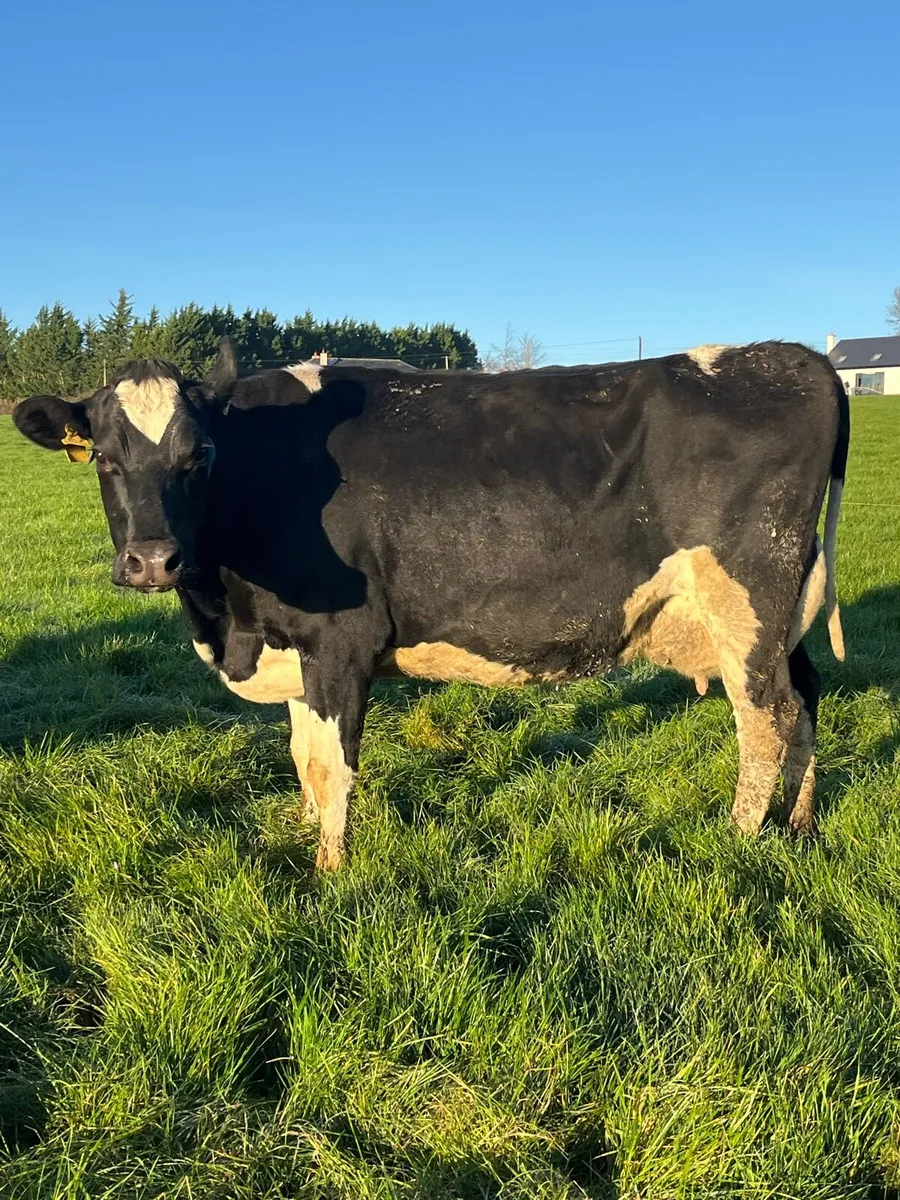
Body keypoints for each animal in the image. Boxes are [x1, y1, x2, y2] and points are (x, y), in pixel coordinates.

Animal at [12, 340, 848, 868]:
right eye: (105, 460)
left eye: (199, 456)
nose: (153, 561)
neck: (230, 620)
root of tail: (793, 356)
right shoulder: (297, 647)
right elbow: (299, 756)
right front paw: (303, 834)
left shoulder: (341, 642)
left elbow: (331, 767)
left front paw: (330, 870)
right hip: (782, 609)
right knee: (804, 695)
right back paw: (801, 822)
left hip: (747, 595)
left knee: (766, 717)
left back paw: (737, 838)